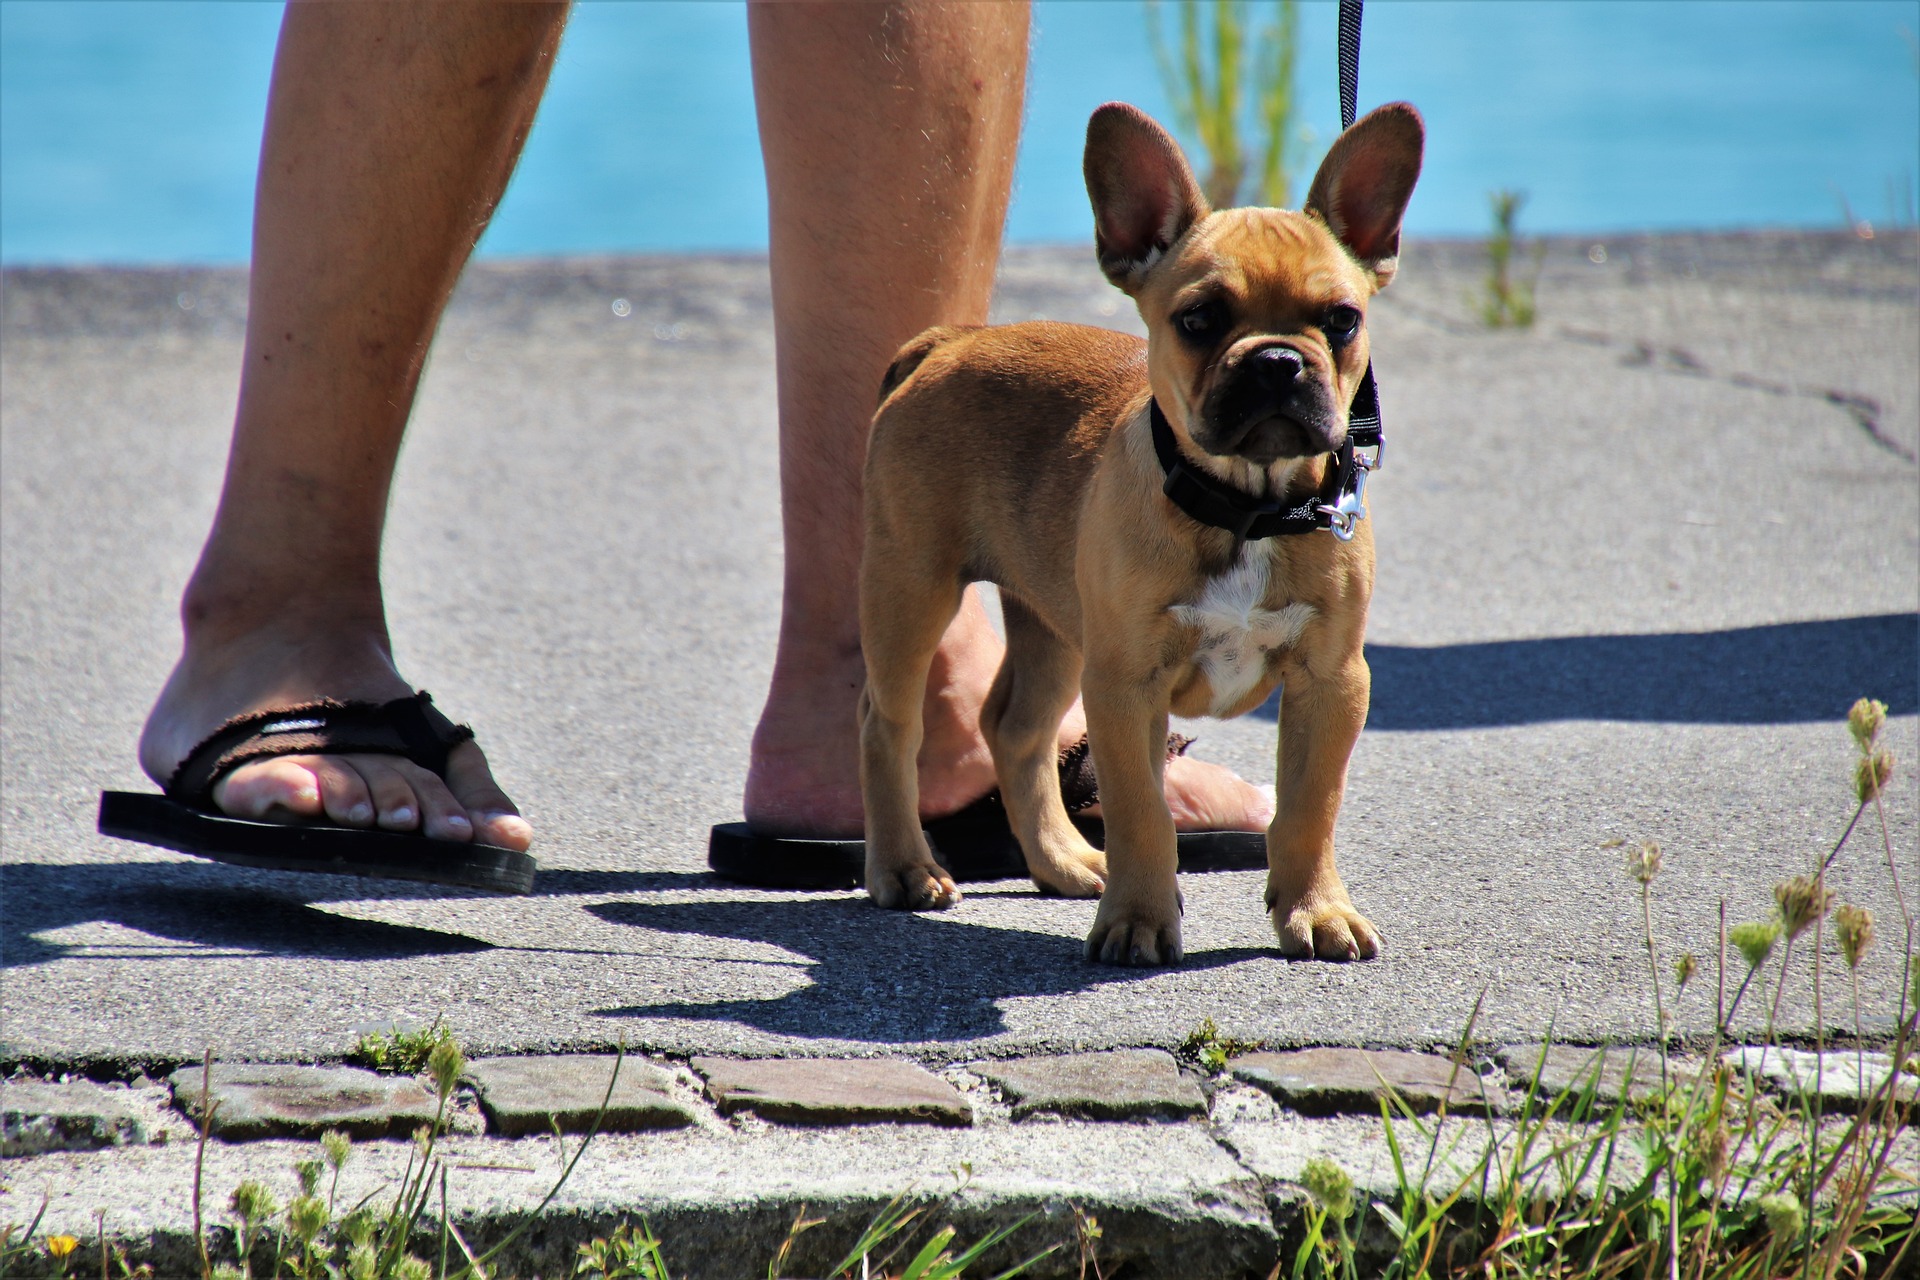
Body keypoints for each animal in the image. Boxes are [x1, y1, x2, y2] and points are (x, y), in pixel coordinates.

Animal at [856, 102, 1428, 959]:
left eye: (1342, 320)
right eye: (1198, 319)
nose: (1277, 362)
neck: (1245, 505)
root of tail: (951, 341)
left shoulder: (1332, 682)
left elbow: (1308, 807)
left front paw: (1317, 909)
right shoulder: (1124, 686)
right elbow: (1142, 812)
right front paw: (1137, 922)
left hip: (1056, 625)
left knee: (1016, 731)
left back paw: (1061, 860)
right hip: (910, 588)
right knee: (890, 723)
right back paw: (905, 868)